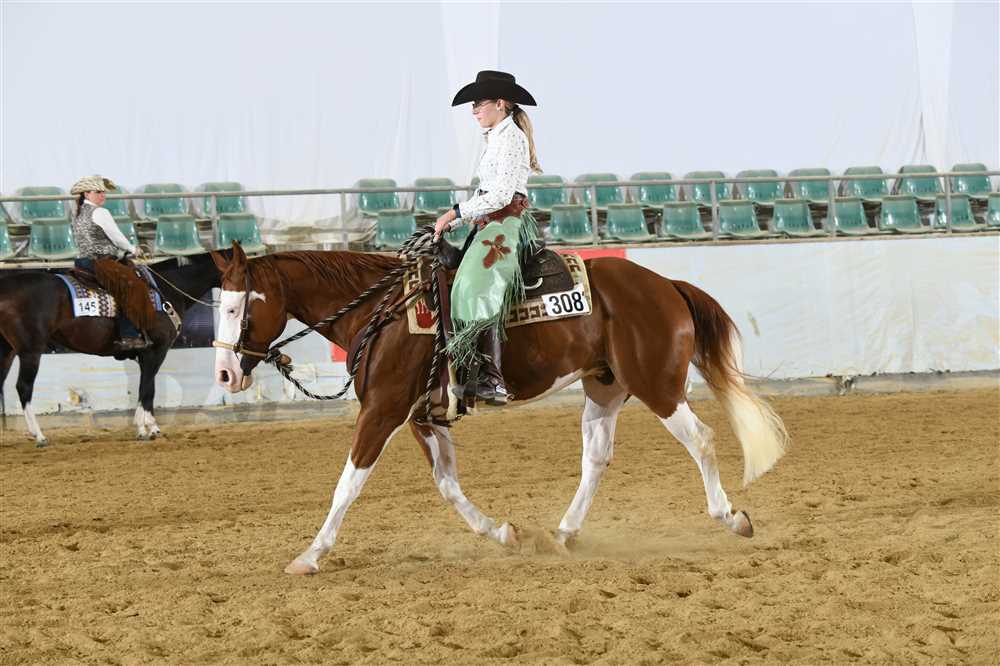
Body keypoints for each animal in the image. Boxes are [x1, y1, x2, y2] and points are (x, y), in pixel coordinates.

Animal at [0, 252, 224, 445]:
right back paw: (39, 436)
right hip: (30, 351)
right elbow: (147, 388)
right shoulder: (157, 351)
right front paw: (147, 428)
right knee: (24, 387)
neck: (165, 290)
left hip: (7, 351)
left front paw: (146, 427)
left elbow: (147, 388)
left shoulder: (146, 355)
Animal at [209, 241, 789, 575]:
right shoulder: (423, 415)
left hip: (657, 385)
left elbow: (347, 484)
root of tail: (666, 285)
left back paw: (731, 517)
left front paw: (310, 555)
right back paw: (563, 534)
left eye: (238, 308)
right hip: (605, 388)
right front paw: (503, 533)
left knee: (702, 440)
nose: (225, 375)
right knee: (596, 459)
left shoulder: (383, 409)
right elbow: (447, 485)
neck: (383, 312)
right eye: (220, 304)